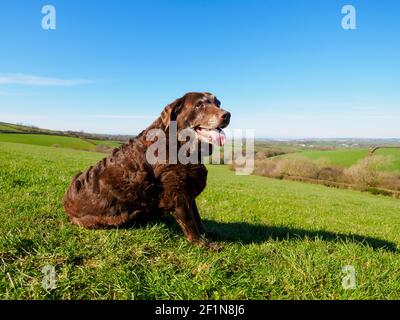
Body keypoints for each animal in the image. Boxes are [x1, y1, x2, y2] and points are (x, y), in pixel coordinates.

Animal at [63, 92, 231, 250]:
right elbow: (190, 221)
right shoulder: (177, 193)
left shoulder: (187, 188)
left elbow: (197, 217)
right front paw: (203, 244)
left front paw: (208, 233)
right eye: (199, 105)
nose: (227, 114)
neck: (179, 145)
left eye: (218, 103)